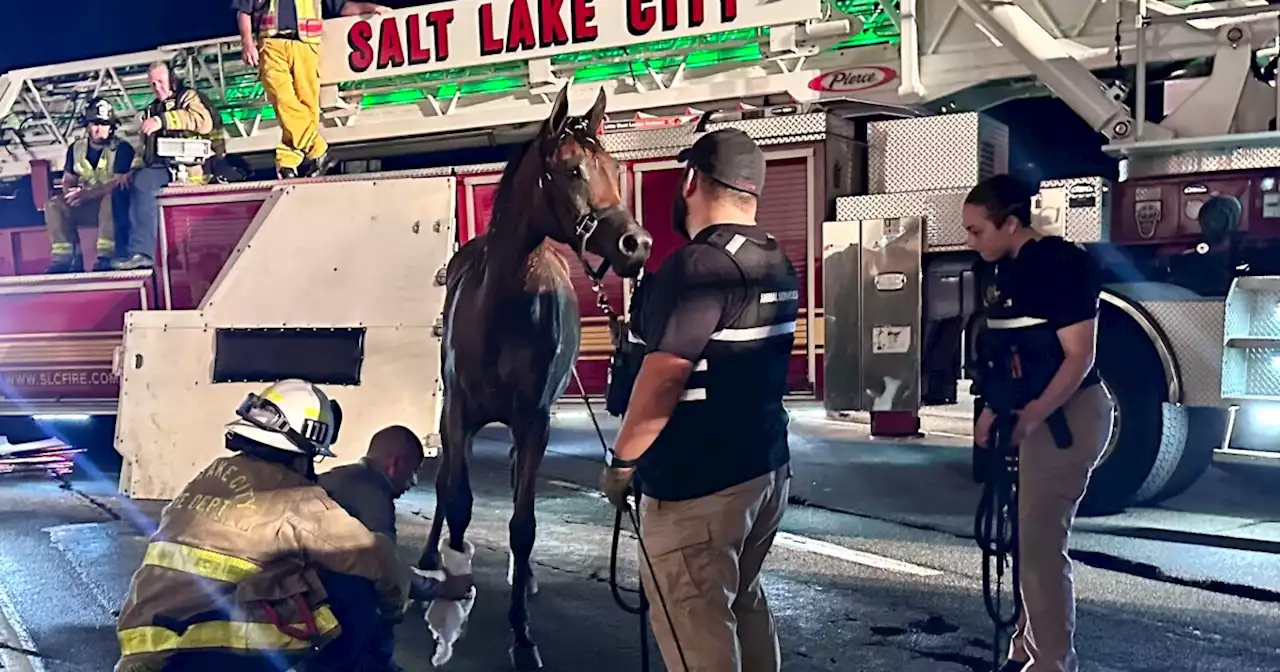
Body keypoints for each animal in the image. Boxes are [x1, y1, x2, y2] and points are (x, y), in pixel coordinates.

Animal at [419, 86, 655, 665]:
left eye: (612, 167)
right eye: (572, 170)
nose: (636, 244)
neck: (501, 307)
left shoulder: (534, 422)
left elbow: (523, 524)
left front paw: (522, 633)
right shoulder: (459, 413)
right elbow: (457, 499)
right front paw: (448, 588)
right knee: (444, 484)